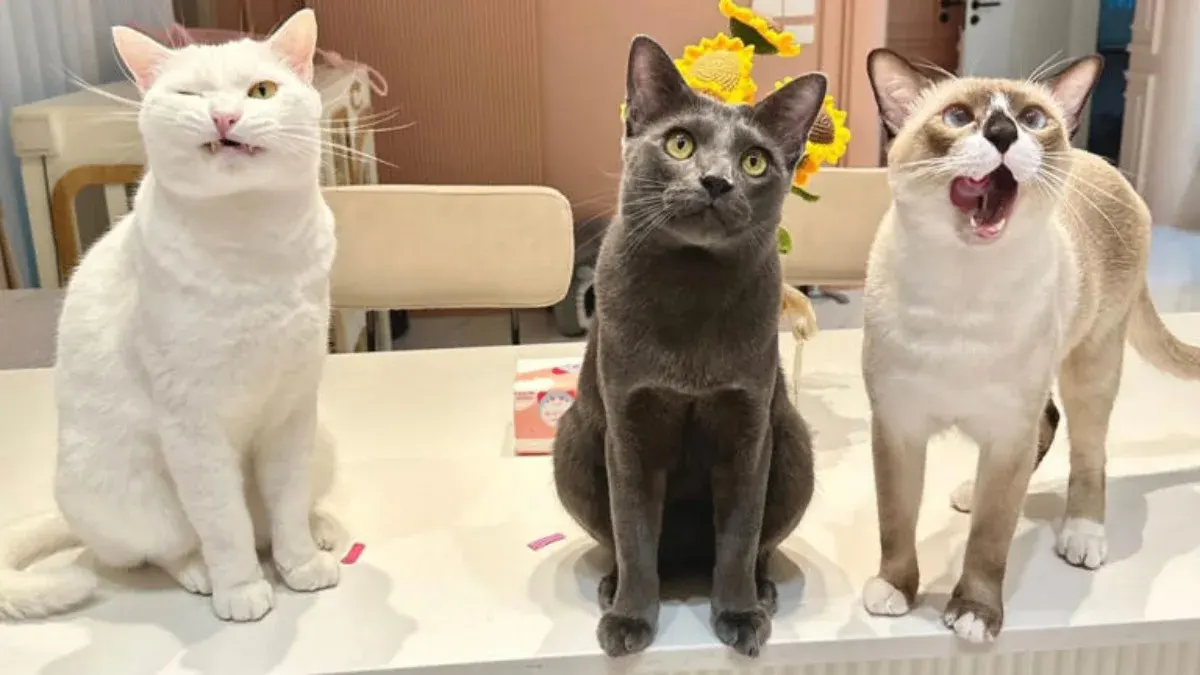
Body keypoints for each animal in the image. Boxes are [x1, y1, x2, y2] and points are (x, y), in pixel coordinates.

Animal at [0, 8, 341, 623]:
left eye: (261, 90)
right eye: (189, 94)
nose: (224, 115)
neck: (253, 243)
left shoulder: (293, 411)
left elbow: (286, 501)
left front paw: (300, 563)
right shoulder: (192, 425)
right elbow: (223, 522)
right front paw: (241, 589)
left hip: (320, 440)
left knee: (276, 517)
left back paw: (317, 529)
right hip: (124, 491)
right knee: (171, 545)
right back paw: (201, 571)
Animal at [552, 35, 822, 659]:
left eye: (754, 161)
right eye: (680, 144)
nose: (717, 181)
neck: (692, 290)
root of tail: (685, 563)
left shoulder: (749, 427)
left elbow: (741, 536)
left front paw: (740, 613)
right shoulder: (628, 427)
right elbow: (631, 532)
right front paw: (629, 619)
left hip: (794, 443)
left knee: (756, 545)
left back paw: (762, 590)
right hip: (572, 441)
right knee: (623, 544)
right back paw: (612, 587)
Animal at [859, 49, 1200, 643]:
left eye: (1033, 120)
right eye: (958, 117)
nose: (1002, 132)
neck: (963, 289)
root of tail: (1105, 165)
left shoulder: (1006, 436)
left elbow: (990, 541)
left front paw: (974, 615)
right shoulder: (898, 428)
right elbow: (896, 521)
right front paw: (895, 592)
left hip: (1091, 366)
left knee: (1088, 451)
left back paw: (1082, 536)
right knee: (1051, 423)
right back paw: (970, 493)